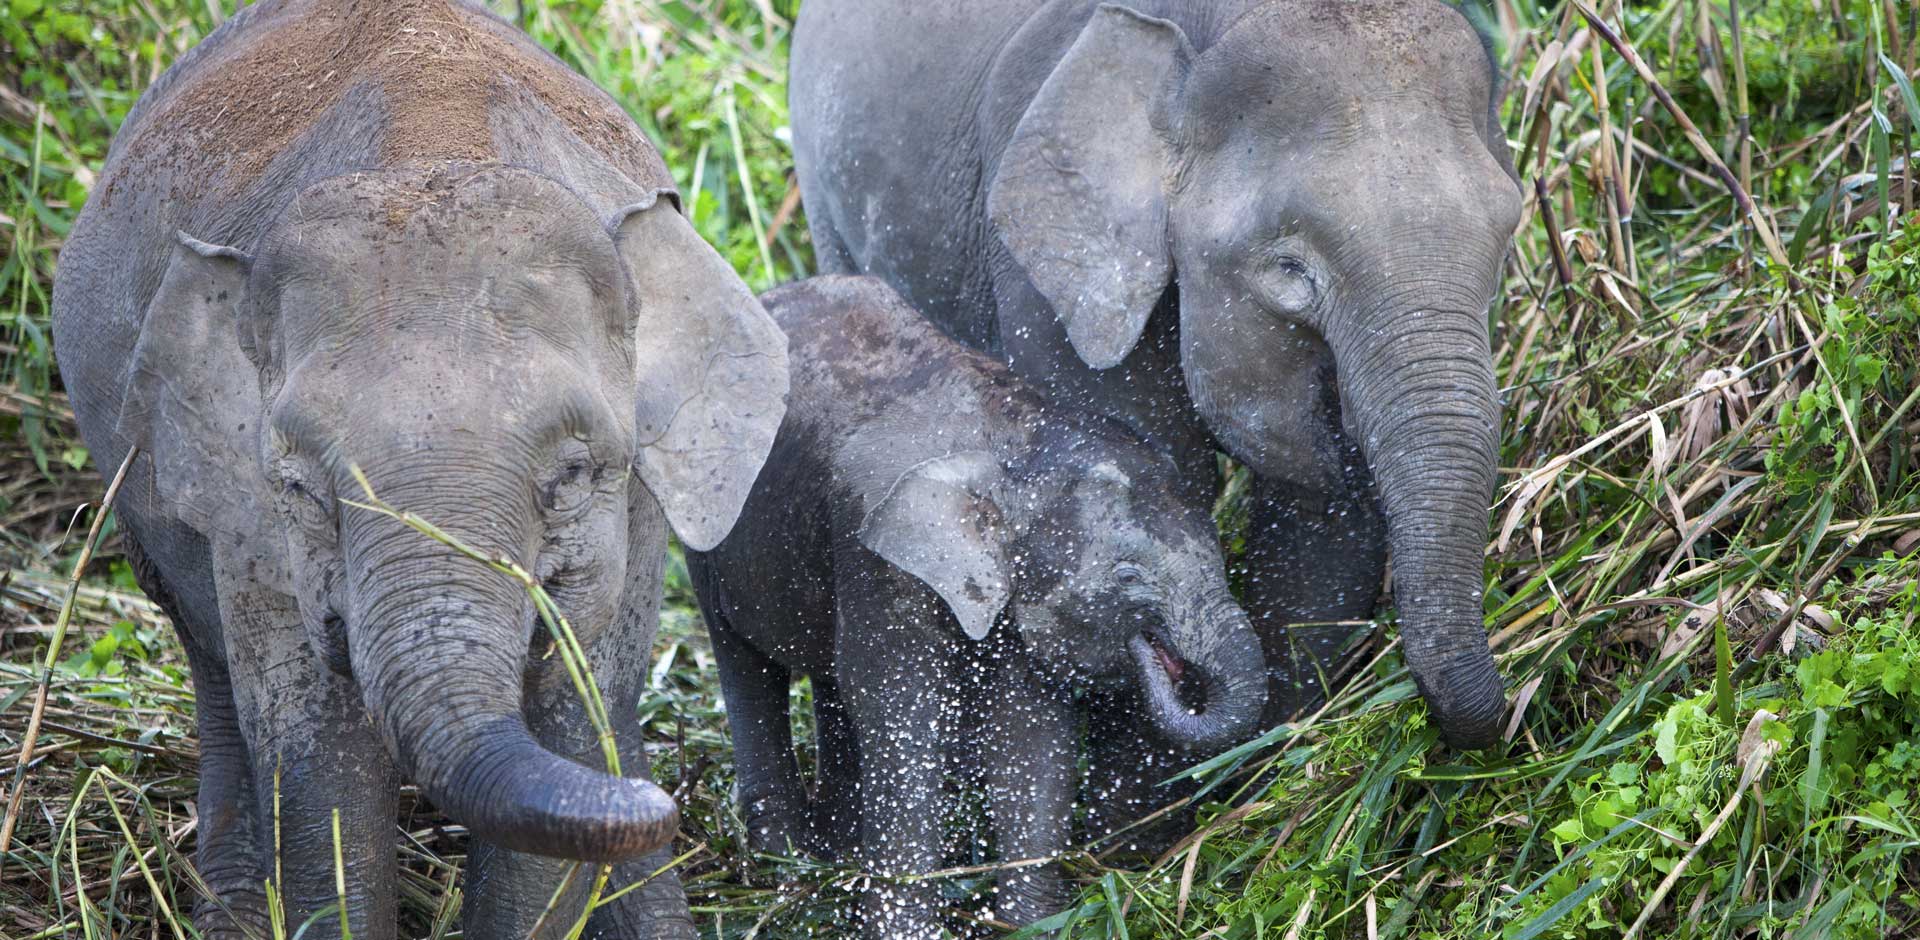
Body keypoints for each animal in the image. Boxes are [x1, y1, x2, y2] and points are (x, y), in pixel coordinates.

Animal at [52, 1, 787, 940]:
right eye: (302, 490)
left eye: (574, 476)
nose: (664, 801)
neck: (435, 147)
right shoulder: (243, 508)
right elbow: (318, 752)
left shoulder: (642, 504)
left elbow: (570, 714)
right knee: (206, 656)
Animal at [683, 276, 1267, 936]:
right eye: (1128, 575)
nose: (1157, 658)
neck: (1015, 441)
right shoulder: (880, 563)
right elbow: (904, 715)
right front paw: (903, 929)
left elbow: (1028, 731)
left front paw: (1031, 924)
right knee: (743, 660)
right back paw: (785, 865)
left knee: (829, 680)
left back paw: (833, 855)